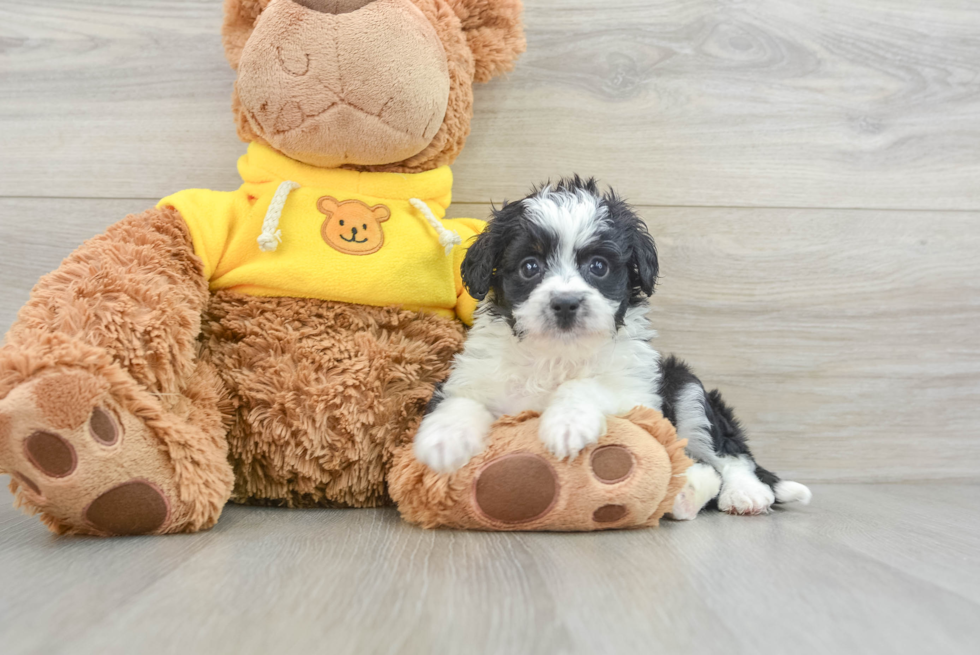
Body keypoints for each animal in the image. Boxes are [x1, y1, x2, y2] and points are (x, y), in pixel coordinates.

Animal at [416, 178, 812, 516]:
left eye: (598, 266)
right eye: (530, 266)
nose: (565, 303)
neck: (557, 354)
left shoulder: (638, 392)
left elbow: (589, 385)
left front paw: (568, 422)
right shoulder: (476, 375)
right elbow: (462, 400)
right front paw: (444, 438)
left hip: (686, 386)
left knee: (729, 453)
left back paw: (744, 492)